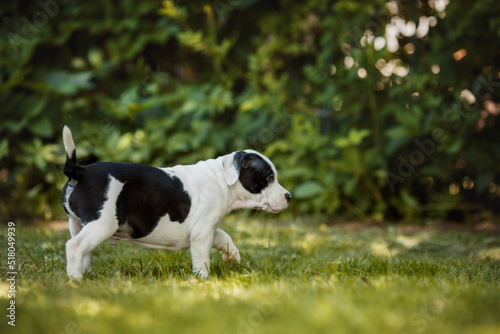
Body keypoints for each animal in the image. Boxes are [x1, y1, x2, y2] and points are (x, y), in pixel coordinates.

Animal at [61, 126, 292, 278]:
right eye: (269, 178)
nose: (288, 196)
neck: (223, 180)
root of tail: (80, 172)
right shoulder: (201, 234)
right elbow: (202, 258)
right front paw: (204, 279)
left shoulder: (206, 228)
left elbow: (224, 236)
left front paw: (232, 257)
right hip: (103, 223)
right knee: (74, 246)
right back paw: (76, 280)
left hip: (78, 224)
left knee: (83, 250)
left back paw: (84, 274)